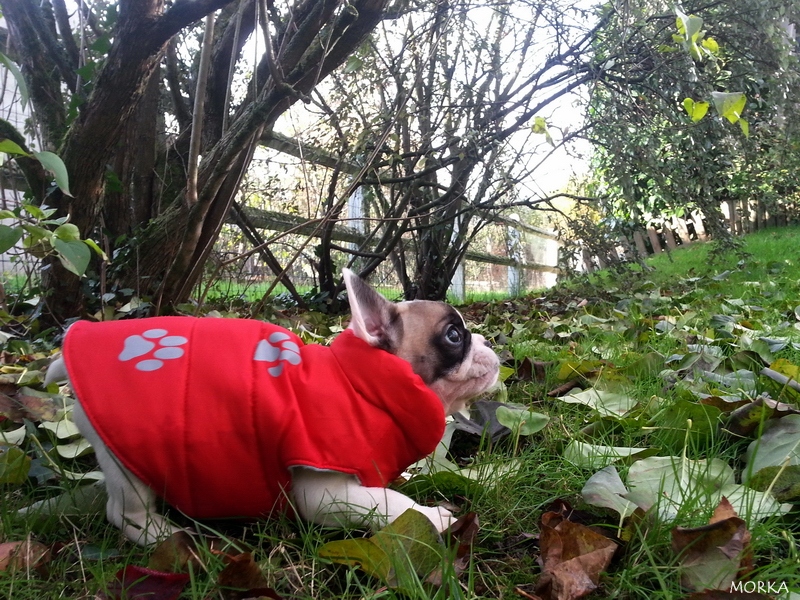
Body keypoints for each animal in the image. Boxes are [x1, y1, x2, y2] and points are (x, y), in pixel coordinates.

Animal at [45, 270, 500, 548]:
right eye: (454, 335)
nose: (487, 343)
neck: (363, 384)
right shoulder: (324, 492)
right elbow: (390, 501)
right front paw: (433, 517)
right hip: (127, 459)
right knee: (124, 512)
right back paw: (166, 535)